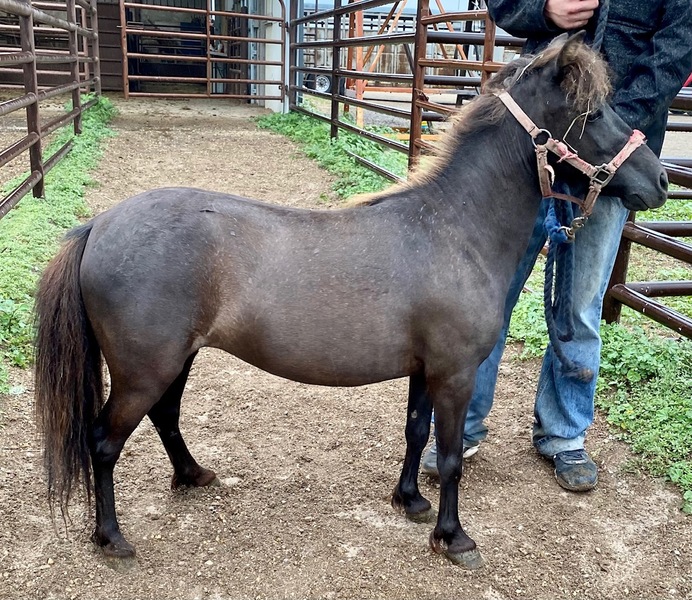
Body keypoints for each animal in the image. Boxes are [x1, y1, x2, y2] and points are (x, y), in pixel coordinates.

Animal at [34, 34, 668, 569]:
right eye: (593, 112)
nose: (659, 182)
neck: (454, 229)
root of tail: (98, 226)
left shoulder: (425, 370)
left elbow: (415, 432)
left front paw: (410, 501)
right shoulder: (455, 372)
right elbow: (451, 455)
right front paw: (454, 537)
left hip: (175, 360)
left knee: (165, 416)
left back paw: (193, 475)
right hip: (144, 368)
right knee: (104, 443)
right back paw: (112, 538)